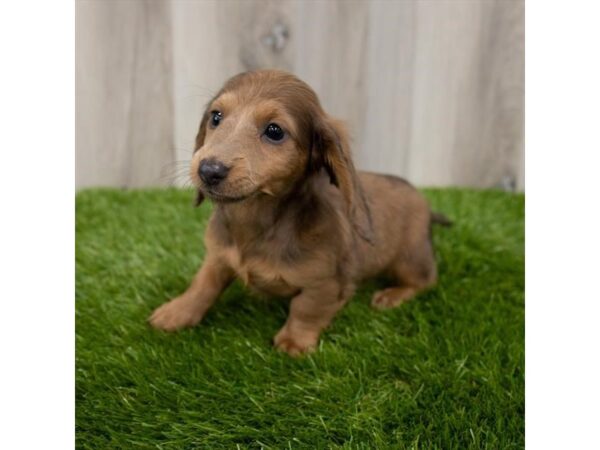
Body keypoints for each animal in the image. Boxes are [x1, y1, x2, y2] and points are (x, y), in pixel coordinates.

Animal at [150, 69, 450, 356]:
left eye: (274, 131)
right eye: (216, 117)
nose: (208, 170)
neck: (254, 221)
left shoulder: (326, 283)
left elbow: (306, 309)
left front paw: (294, 341)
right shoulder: (217, 258)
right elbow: (202, 285)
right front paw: (177, 312)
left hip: (410, 258)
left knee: (426, 281)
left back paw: (392, 295)